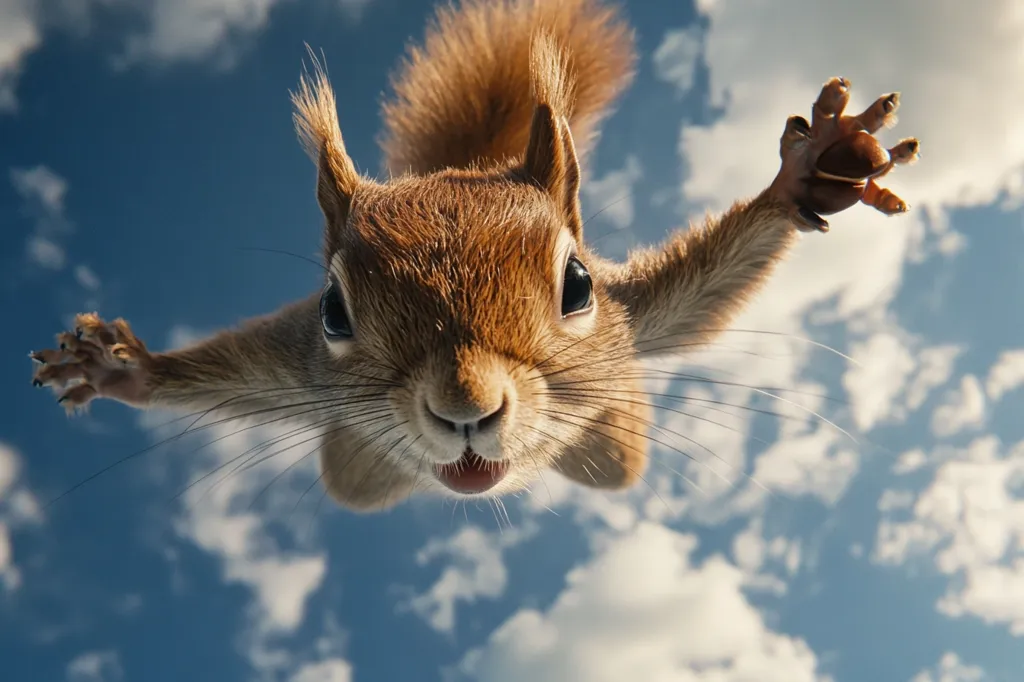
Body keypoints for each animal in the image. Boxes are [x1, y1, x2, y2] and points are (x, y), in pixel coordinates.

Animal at [29, 0, 920, 512]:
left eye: (578, 284)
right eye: (333, 311)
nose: (466, 408)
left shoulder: (631, 316)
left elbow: (697, 295)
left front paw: (807, 171)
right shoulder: (299, 367)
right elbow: (240, 376)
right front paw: (121, 369)